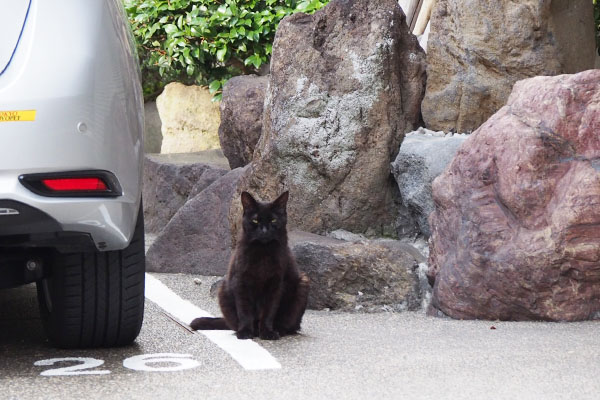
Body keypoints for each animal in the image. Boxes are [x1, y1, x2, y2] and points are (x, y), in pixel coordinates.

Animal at [190, 191, 310, 340]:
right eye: (255, 220)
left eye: (273, 220)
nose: (264, 231)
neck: (263, 252)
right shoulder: (241, 282)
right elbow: (244, 310)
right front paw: (245, 332)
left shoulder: (276, 284)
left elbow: (269, 311)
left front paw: (267, 332)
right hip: (224, 290)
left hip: (303, 283)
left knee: (291, 325)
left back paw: (277, 330)